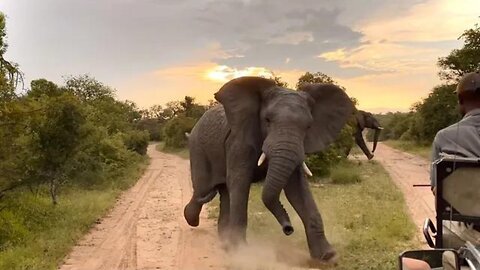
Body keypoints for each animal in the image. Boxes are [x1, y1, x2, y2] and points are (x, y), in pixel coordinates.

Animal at [182, 76, 354, 264]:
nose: (288, 229)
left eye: (308, 127)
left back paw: (224, 242)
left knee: (224, 193)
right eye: (267, 120)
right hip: (198, 148)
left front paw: (327, 257)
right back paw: (192, 219)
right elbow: (240, 183)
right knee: (203, 188)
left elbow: (297, 190)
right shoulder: (239, 143)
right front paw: (241, 252)